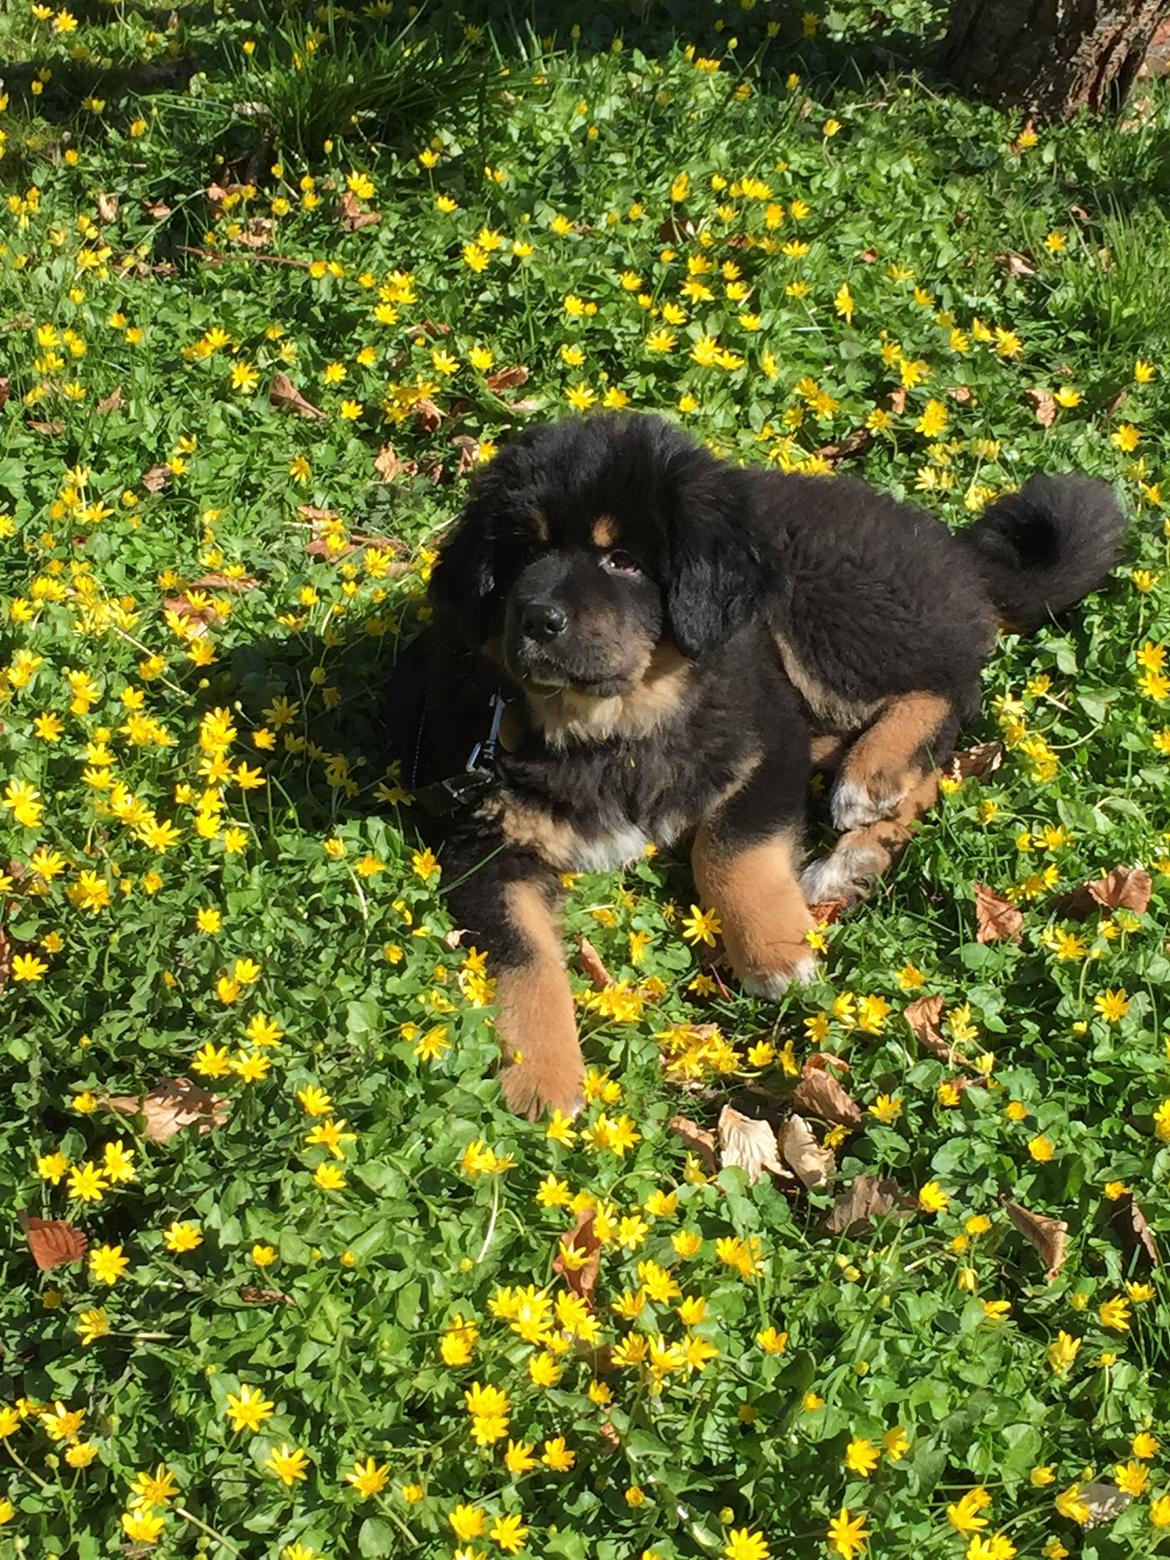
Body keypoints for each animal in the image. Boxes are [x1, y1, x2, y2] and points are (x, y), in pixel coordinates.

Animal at [394, 411, 1129, 1123]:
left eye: (623, 561)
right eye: (522, 553)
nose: (538, 619)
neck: (611, 727)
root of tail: (957, 553)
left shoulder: (766, 740)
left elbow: (728, 847)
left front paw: (775, 953)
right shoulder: (484, 842)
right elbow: (524, 957)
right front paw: (543, 1077)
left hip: (822, 613)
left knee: (949, 689)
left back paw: (875, 775)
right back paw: (857, 852)